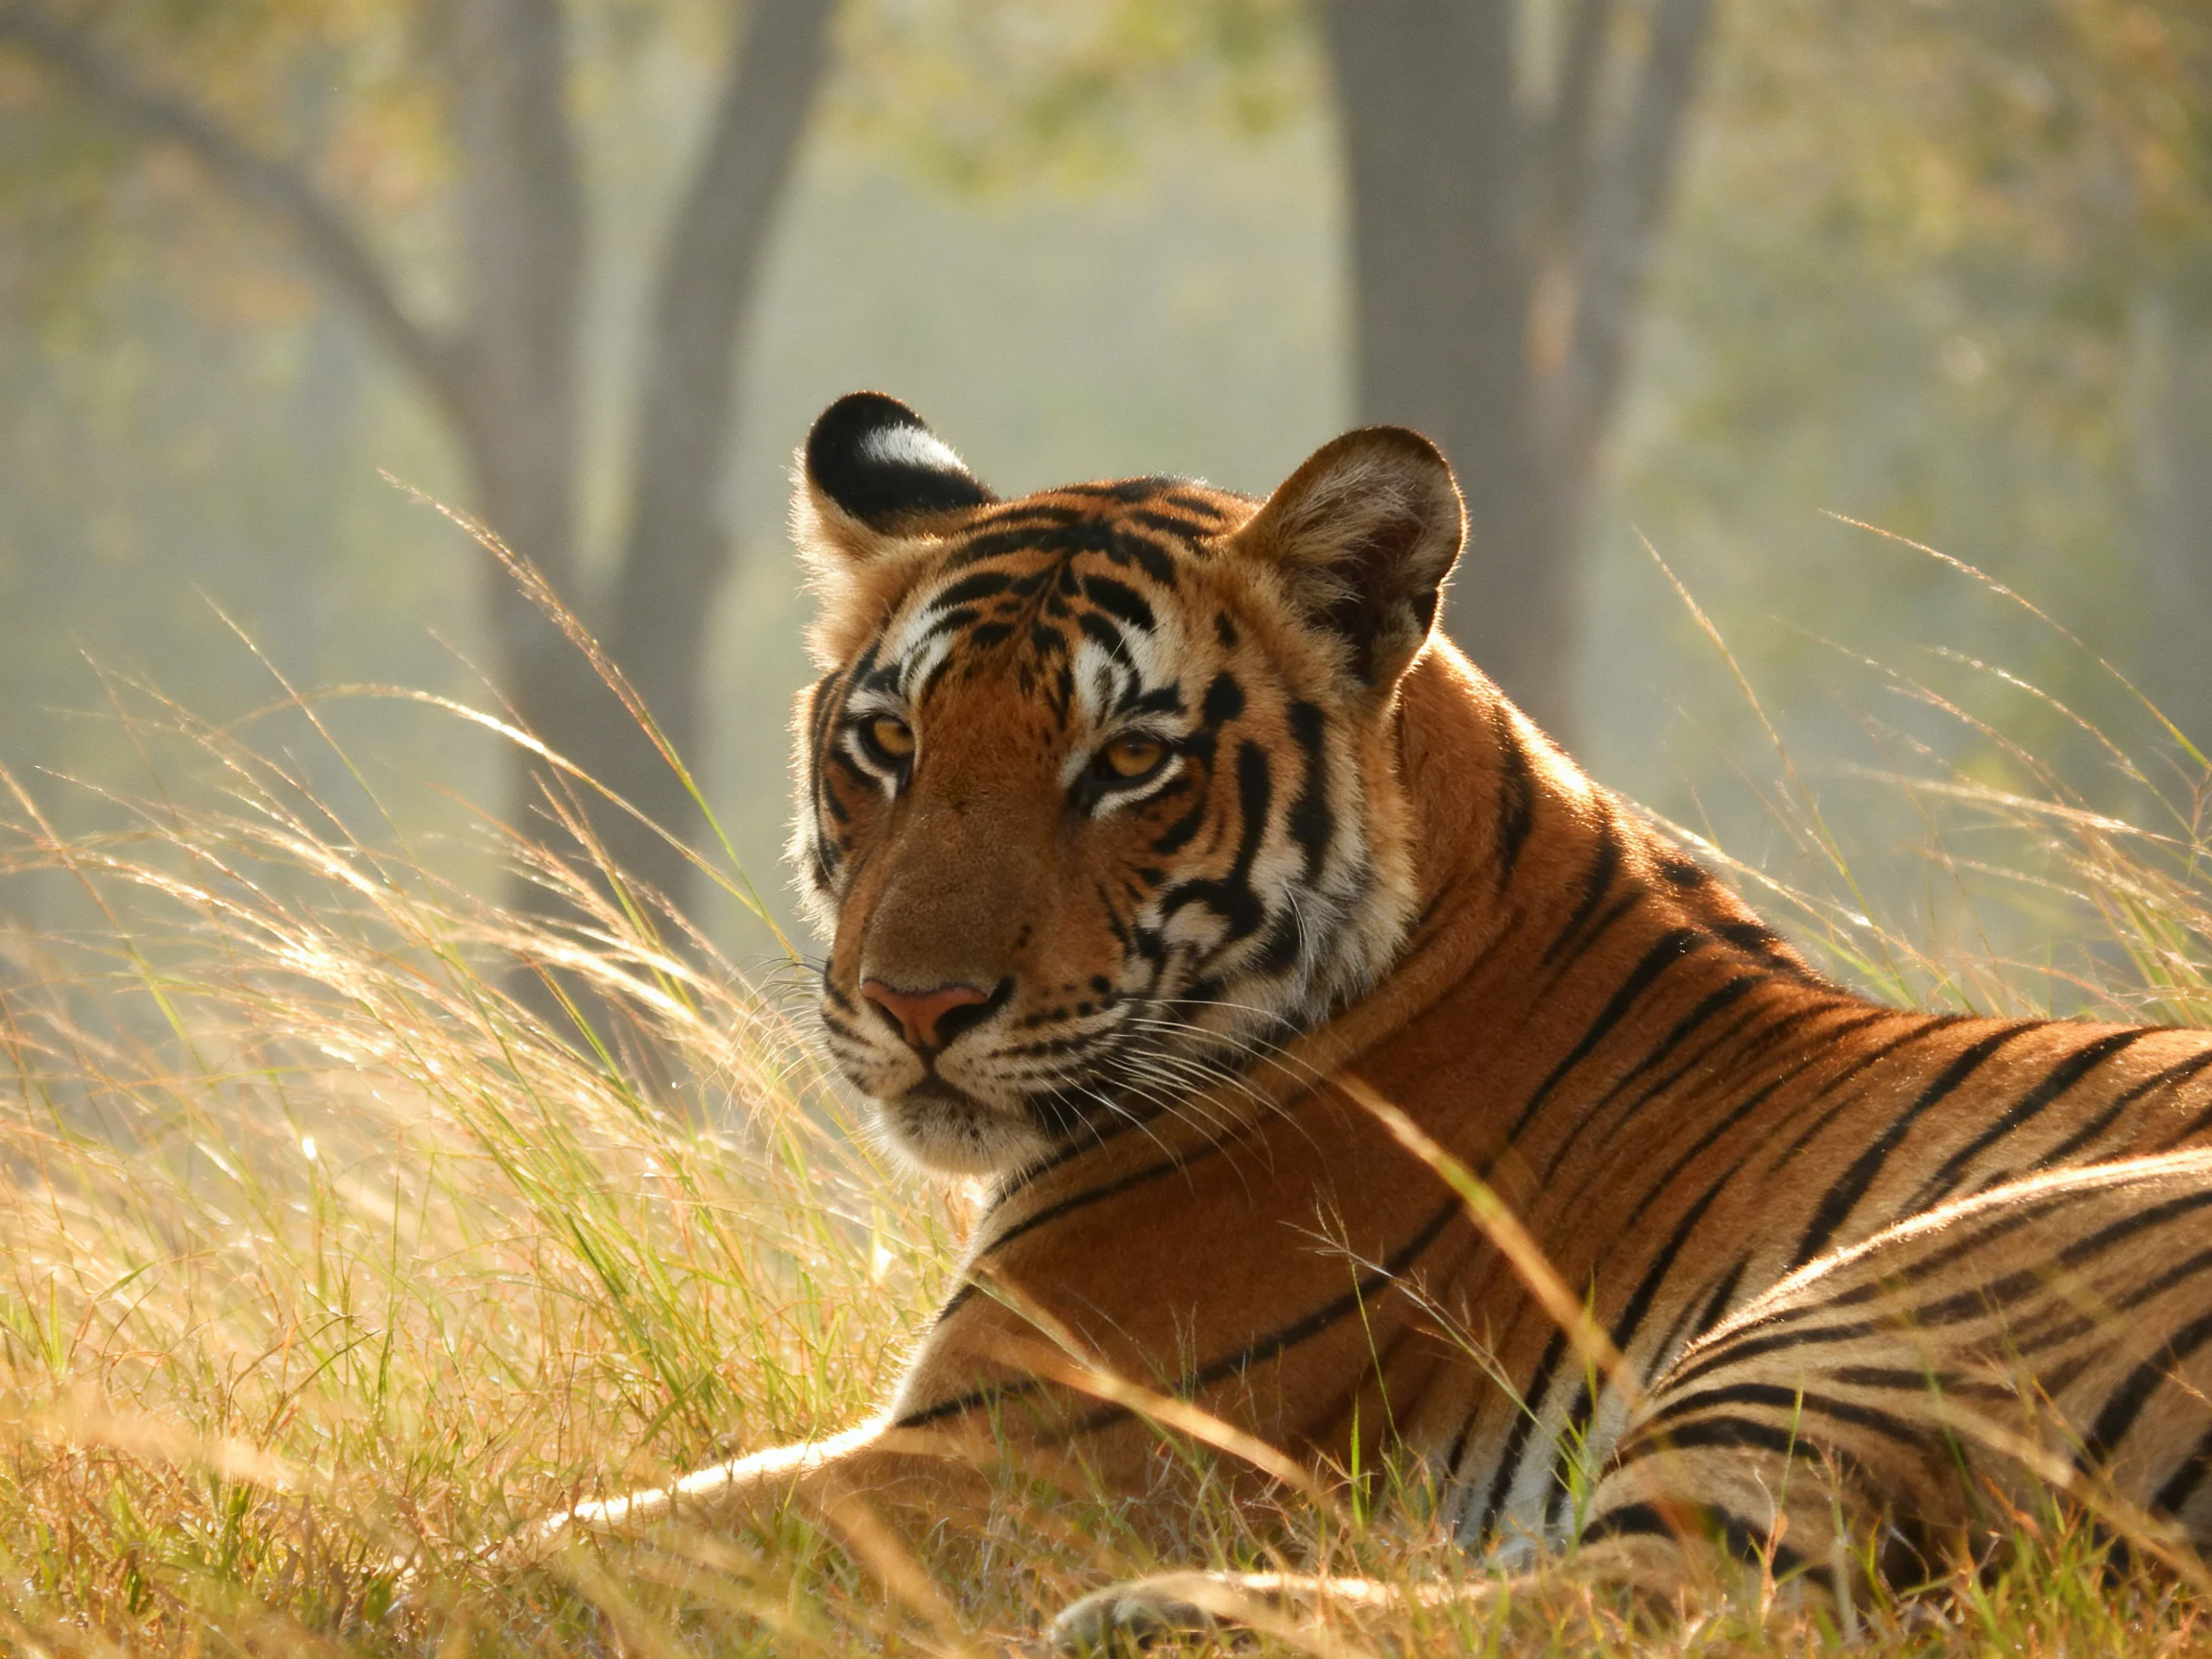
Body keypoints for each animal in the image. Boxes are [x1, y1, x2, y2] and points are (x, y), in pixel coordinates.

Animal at [520, 391, 2212, 1647]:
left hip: (1893, 1297)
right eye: (888, 741)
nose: (913, 1002)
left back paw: (1157, 1615)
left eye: (1128, 763)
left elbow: (585, 1542)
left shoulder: (1028, 1446)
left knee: (1665, 1609)